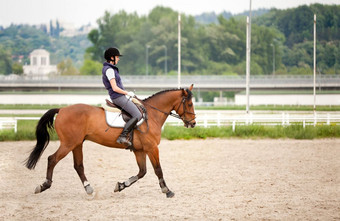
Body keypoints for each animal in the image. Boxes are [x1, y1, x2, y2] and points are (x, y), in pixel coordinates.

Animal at [25, 83, 197, 198]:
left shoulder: (139, 150)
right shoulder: (151, 148)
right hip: (68, 144)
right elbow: (157, 169)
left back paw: (89, 188)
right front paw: (167, 191)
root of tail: (61, 110)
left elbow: (142, 172)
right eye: (189, 103)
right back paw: (44, 185)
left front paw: (120, 186)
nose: (193, 123)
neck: (152, 114)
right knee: (52, 159)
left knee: (78, 166)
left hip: (77, 144)